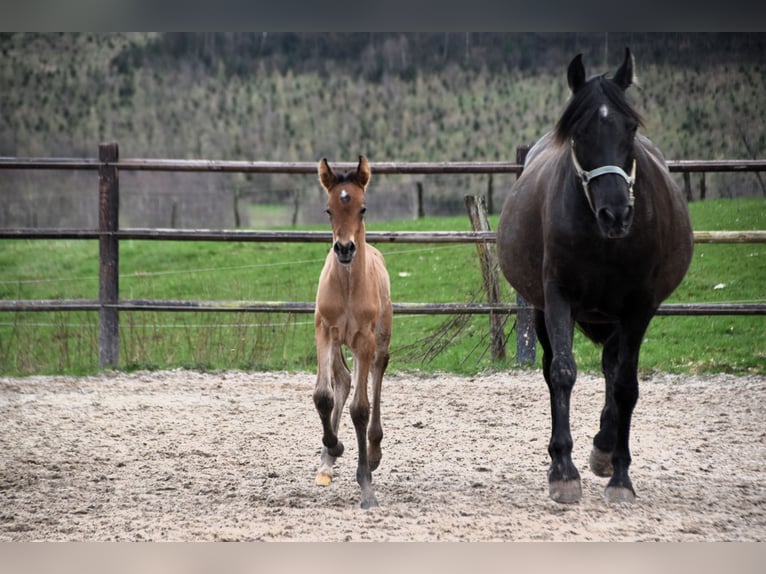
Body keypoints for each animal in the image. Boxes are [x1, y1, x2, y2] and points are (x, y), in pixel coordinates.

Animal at [498, 50, 696, 508]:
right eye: (579, 132)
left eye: (631, 128)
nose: (616, 213)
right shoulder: (558, 297)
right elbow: (562, 372)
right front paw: (563, 471)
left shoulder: (639, 307)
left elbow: (625, 385)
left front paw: (620, 476)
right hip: (546, 310)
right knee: (556, 367)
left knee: (612, 366)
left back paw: (605, 450)